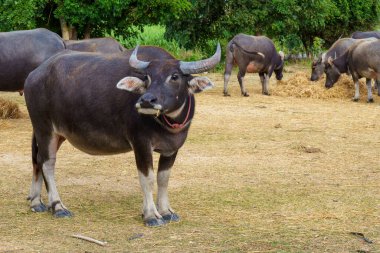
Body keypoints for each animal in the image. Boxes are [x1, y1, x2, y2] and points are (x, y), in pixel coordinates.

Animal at [23, 44, 221, 227]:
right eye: (147, 78)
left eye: (174, 76)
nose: (146, 100)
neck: (167, 124)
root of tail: (34, 75)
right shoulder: (141, 143)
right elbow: (147, 178)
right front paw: (151, 215)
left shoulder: (171, 149)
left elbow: (163, 178)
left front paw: (166, 211)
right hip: (44, 128)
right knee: (48, 163)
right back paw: (57, 206)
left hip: (57, 134)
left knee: (37, 160)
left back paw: (36, 201)